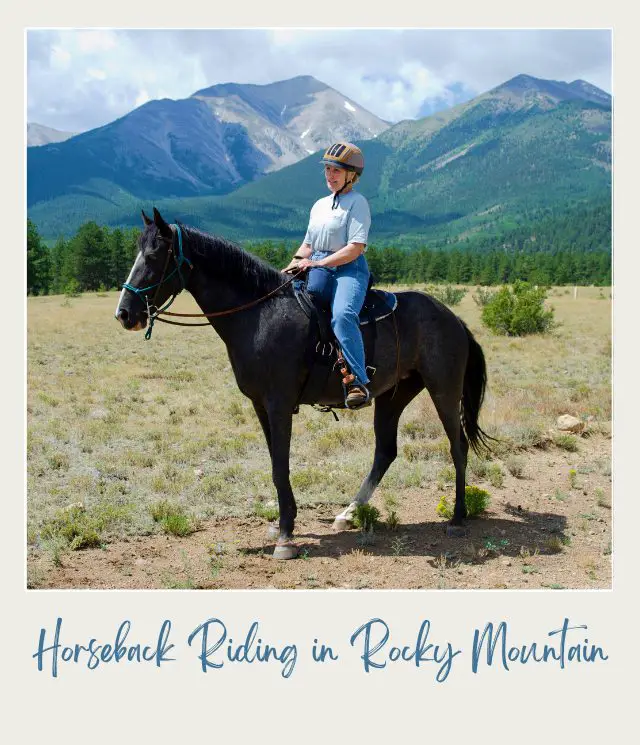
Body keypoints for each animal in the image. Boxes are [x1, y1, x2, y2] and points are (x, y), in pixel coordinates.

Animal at [115, 209, 492, 560]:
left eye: (154, 256)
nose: (124, 314)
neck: (259, 314)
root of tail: (453, 318)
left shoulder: (279, 403)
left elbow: (281, 464)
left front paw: (285, 536)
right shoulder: (261, 406)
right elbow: (275, 464)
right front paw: (285, 523)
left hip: (444, 389)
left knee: (457, 446)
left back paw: (457, 518)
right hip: (393, 396)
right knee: (385, 452)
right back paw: (347, 514)